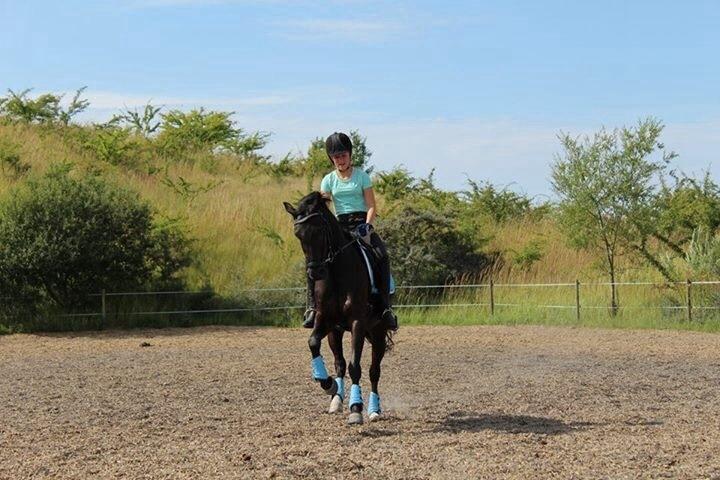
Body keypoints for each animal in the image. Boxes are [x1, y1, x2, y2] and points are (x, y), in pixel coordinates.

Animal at [283, 191, 394, 425]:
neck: (337, 273)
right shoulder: (325, 320)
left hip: (378, 331)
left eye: (319, 231)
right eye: (299, 236)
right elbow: (313, 343)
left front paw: (356, 409)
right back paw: (336, 399)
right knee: (339, 363)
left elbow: (355, 366)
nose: (315, 273)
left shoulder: (358, 323)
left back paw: (374, 410)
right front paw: (328, 384)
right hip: (336, 332)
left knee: (374, 371)